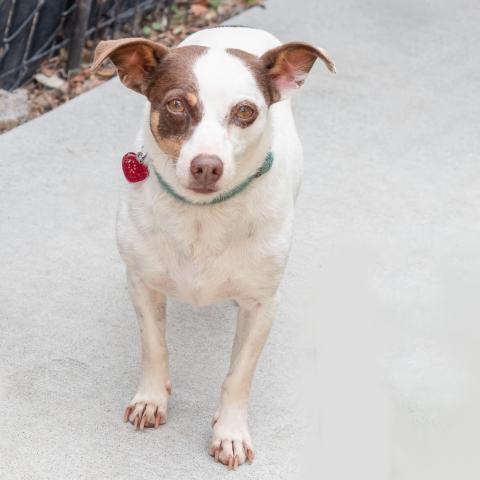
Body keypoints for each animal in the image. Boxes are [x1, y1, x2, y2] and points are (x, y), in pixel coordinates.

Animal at [91, 25, 334, 468]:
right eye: (175, 104)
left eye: (246, 111)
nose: (207, 166)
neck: (203, 217)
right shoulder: (141, 283)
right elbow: (154, 348)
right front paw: (152, 399)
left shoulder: (262, 305)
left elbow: (238, 376)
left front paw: (230, 433)